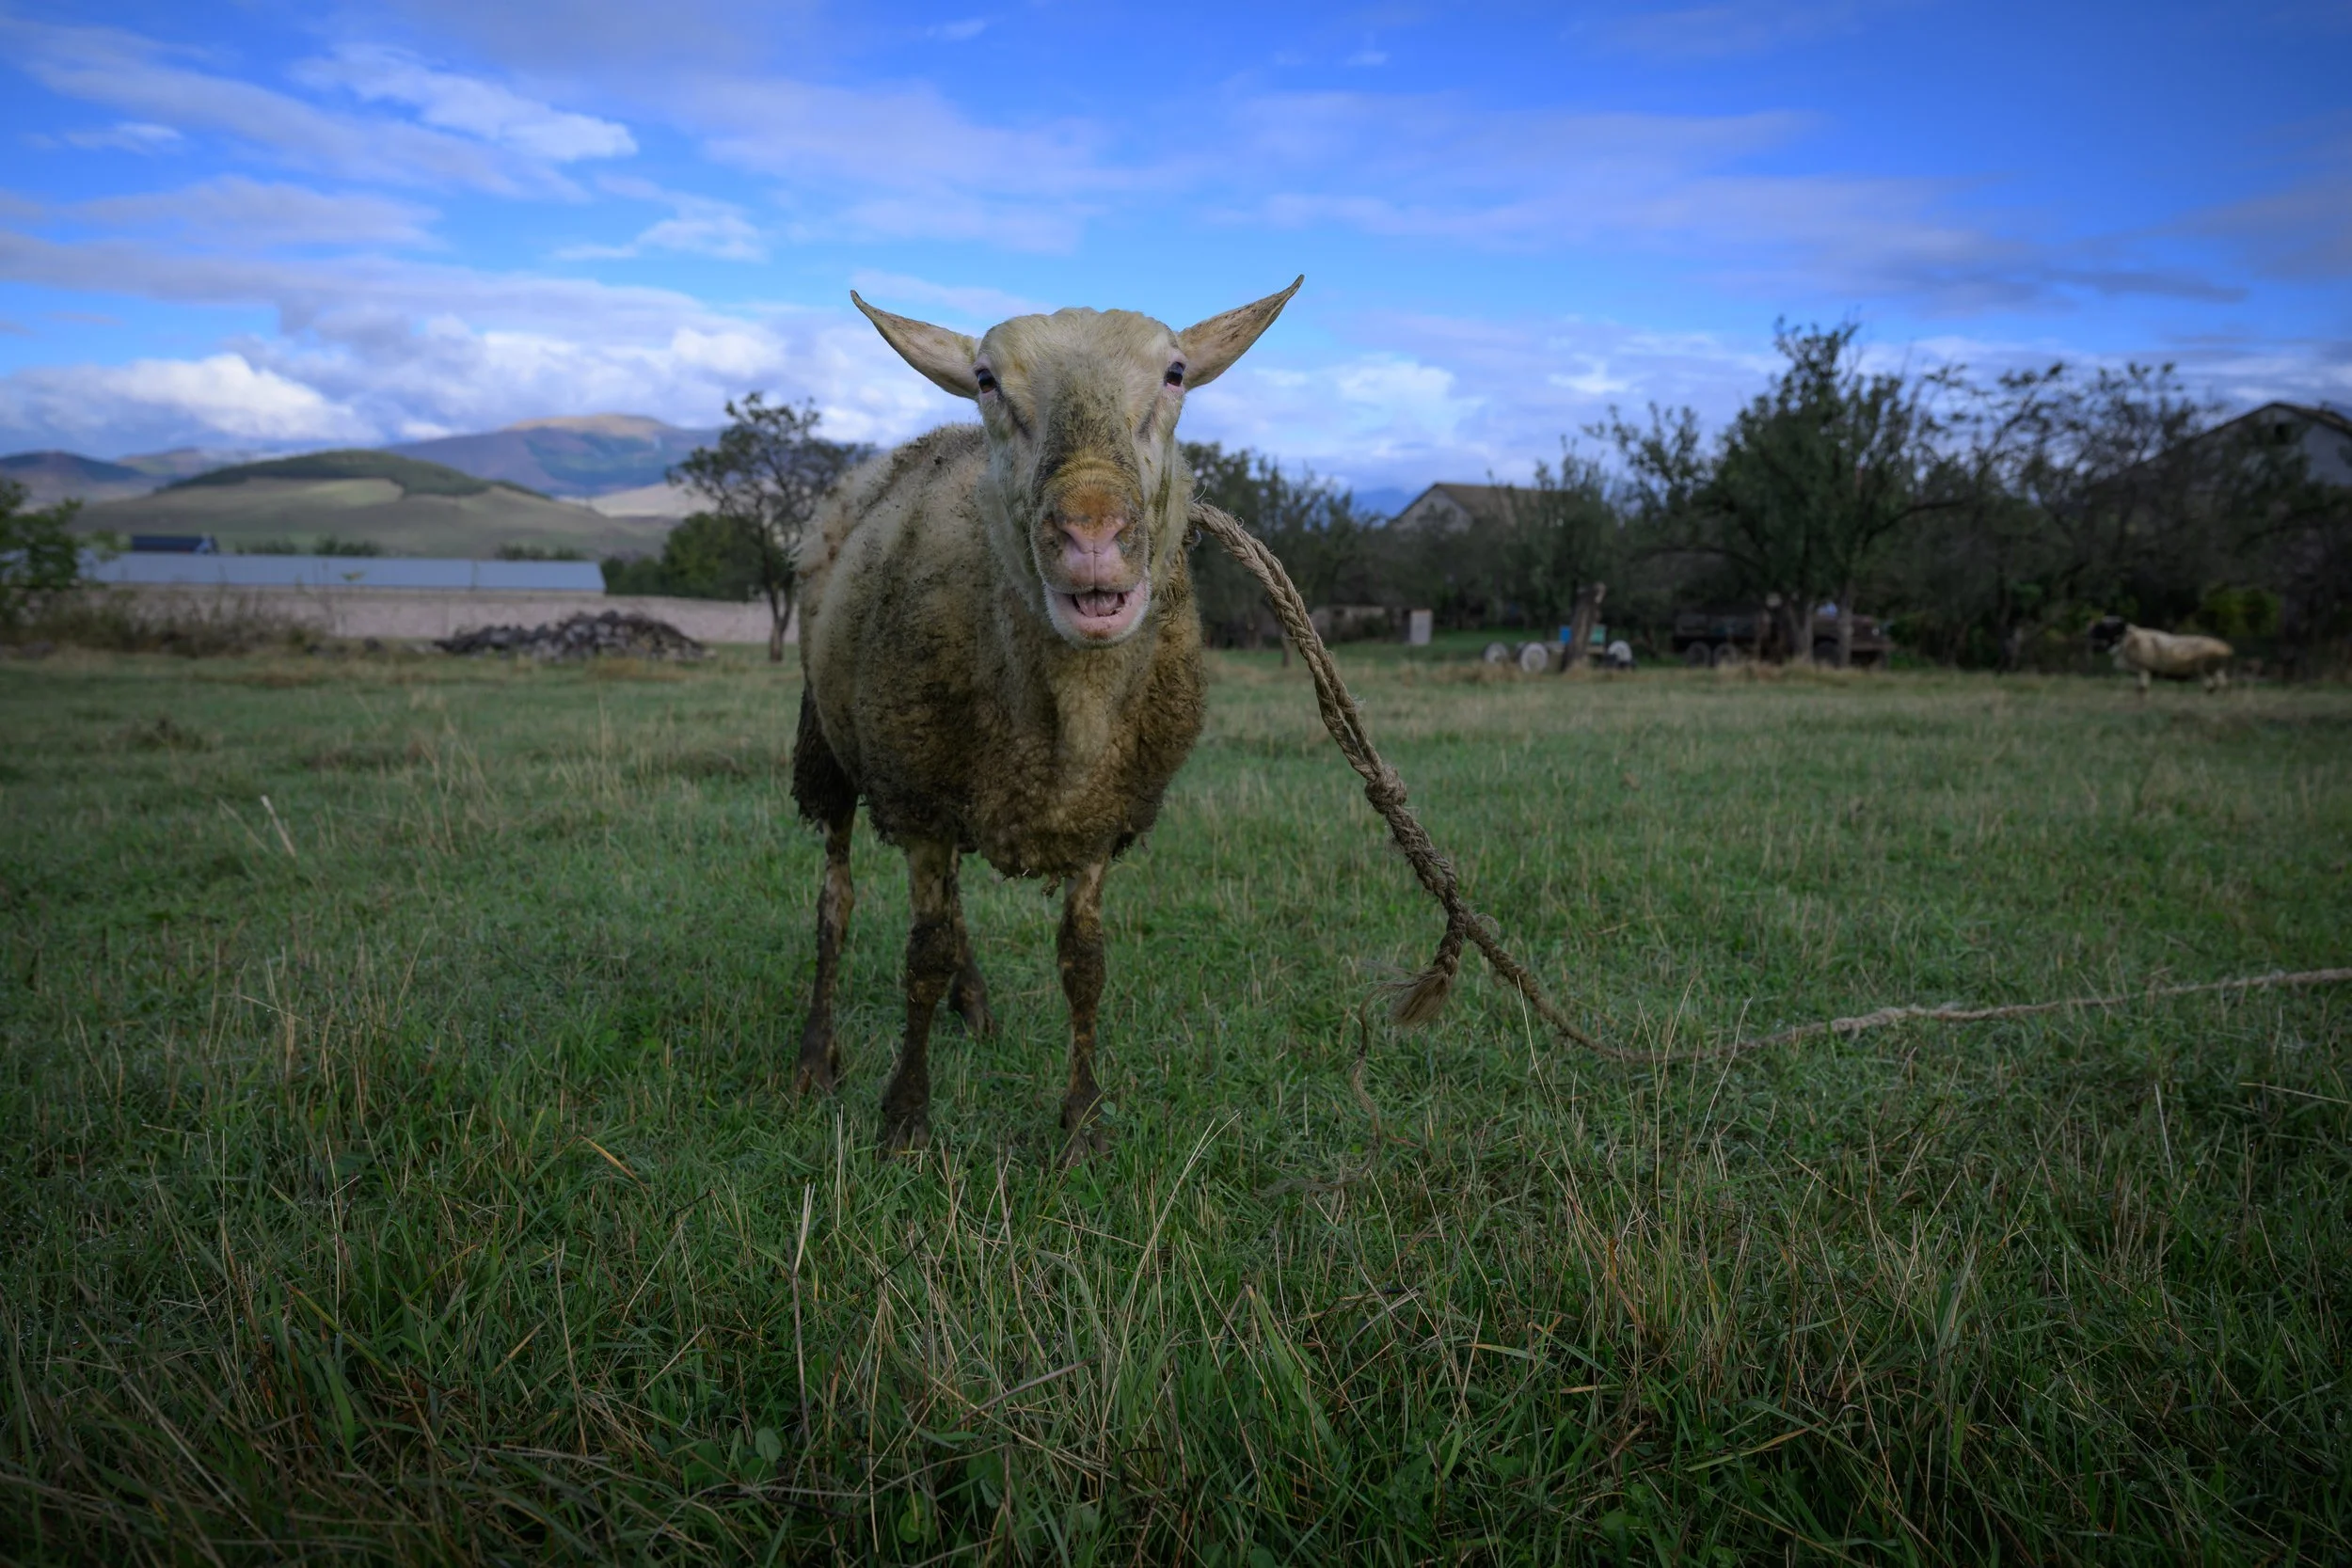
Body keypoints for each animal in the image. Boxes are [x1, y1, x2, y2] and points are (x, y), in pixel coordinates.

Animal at [790, 279, 1303, 1158]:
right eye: (987, 379)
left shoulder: (1100, 817)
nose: (1092, 532)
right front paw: (905, 1121)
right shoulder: (919, 801)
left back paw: (975, 1004)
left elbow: (1084, 963)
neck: (1074, 716)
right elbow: (919, 958)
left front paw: (1083, 1121)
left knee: (949, 900)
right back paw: (817, 1055)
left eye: (1175, 373)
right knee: (837, 904)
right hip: (832, 746)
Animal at [2090, 616, 2233, 694]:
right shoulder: (2139, 671)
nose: (2090, 632)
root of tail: (2225, 647)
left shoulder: (2143, 669)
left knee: (2211, 687)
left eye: (2107, 627)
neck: (2128, 640)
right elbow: (2139, 689)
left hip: (2203, 670)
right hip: (2216, 671)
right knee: (2221, 686)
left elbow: (2143, 688)